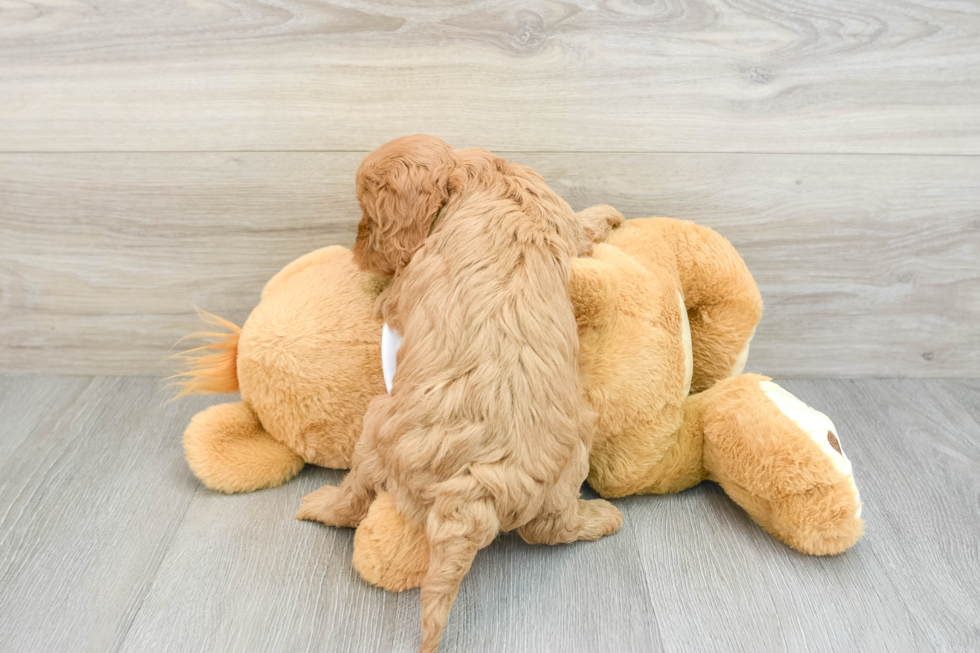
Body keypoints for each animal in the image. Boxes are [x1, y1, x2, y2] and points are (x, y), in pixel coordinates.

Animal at [296, 135, 620, 648]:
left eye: (368, 212)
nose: (357, 250)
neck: (471, 176)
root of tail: (473, 488)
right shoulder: (556, 216)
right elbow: (582, 228)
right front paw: (608, 214)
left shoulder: (401, 292)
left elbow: (388, 298)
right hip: (570, 460)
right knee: (551, 529)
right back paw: (601, 519)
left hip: (376, 427)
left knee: (357, 494)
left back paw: (320, 506)